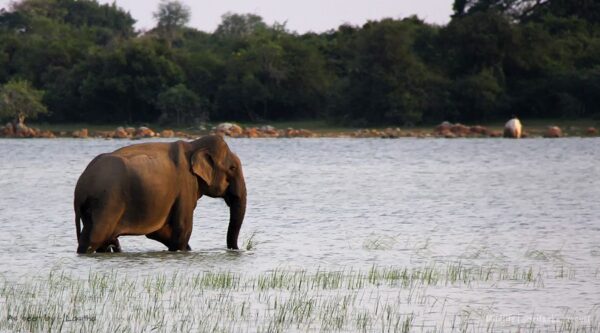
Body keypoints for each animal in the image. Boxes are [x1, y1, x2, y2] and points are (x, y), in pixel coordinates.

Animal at [74, 134, 246, 253]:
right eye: (232, 168)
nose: (237, 249)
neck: (194, 144)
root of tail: (80, 187)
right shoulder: (185, 185)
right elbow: (183, 228)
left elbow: (158, 231)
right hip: (107, 202)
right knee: (95, 237)